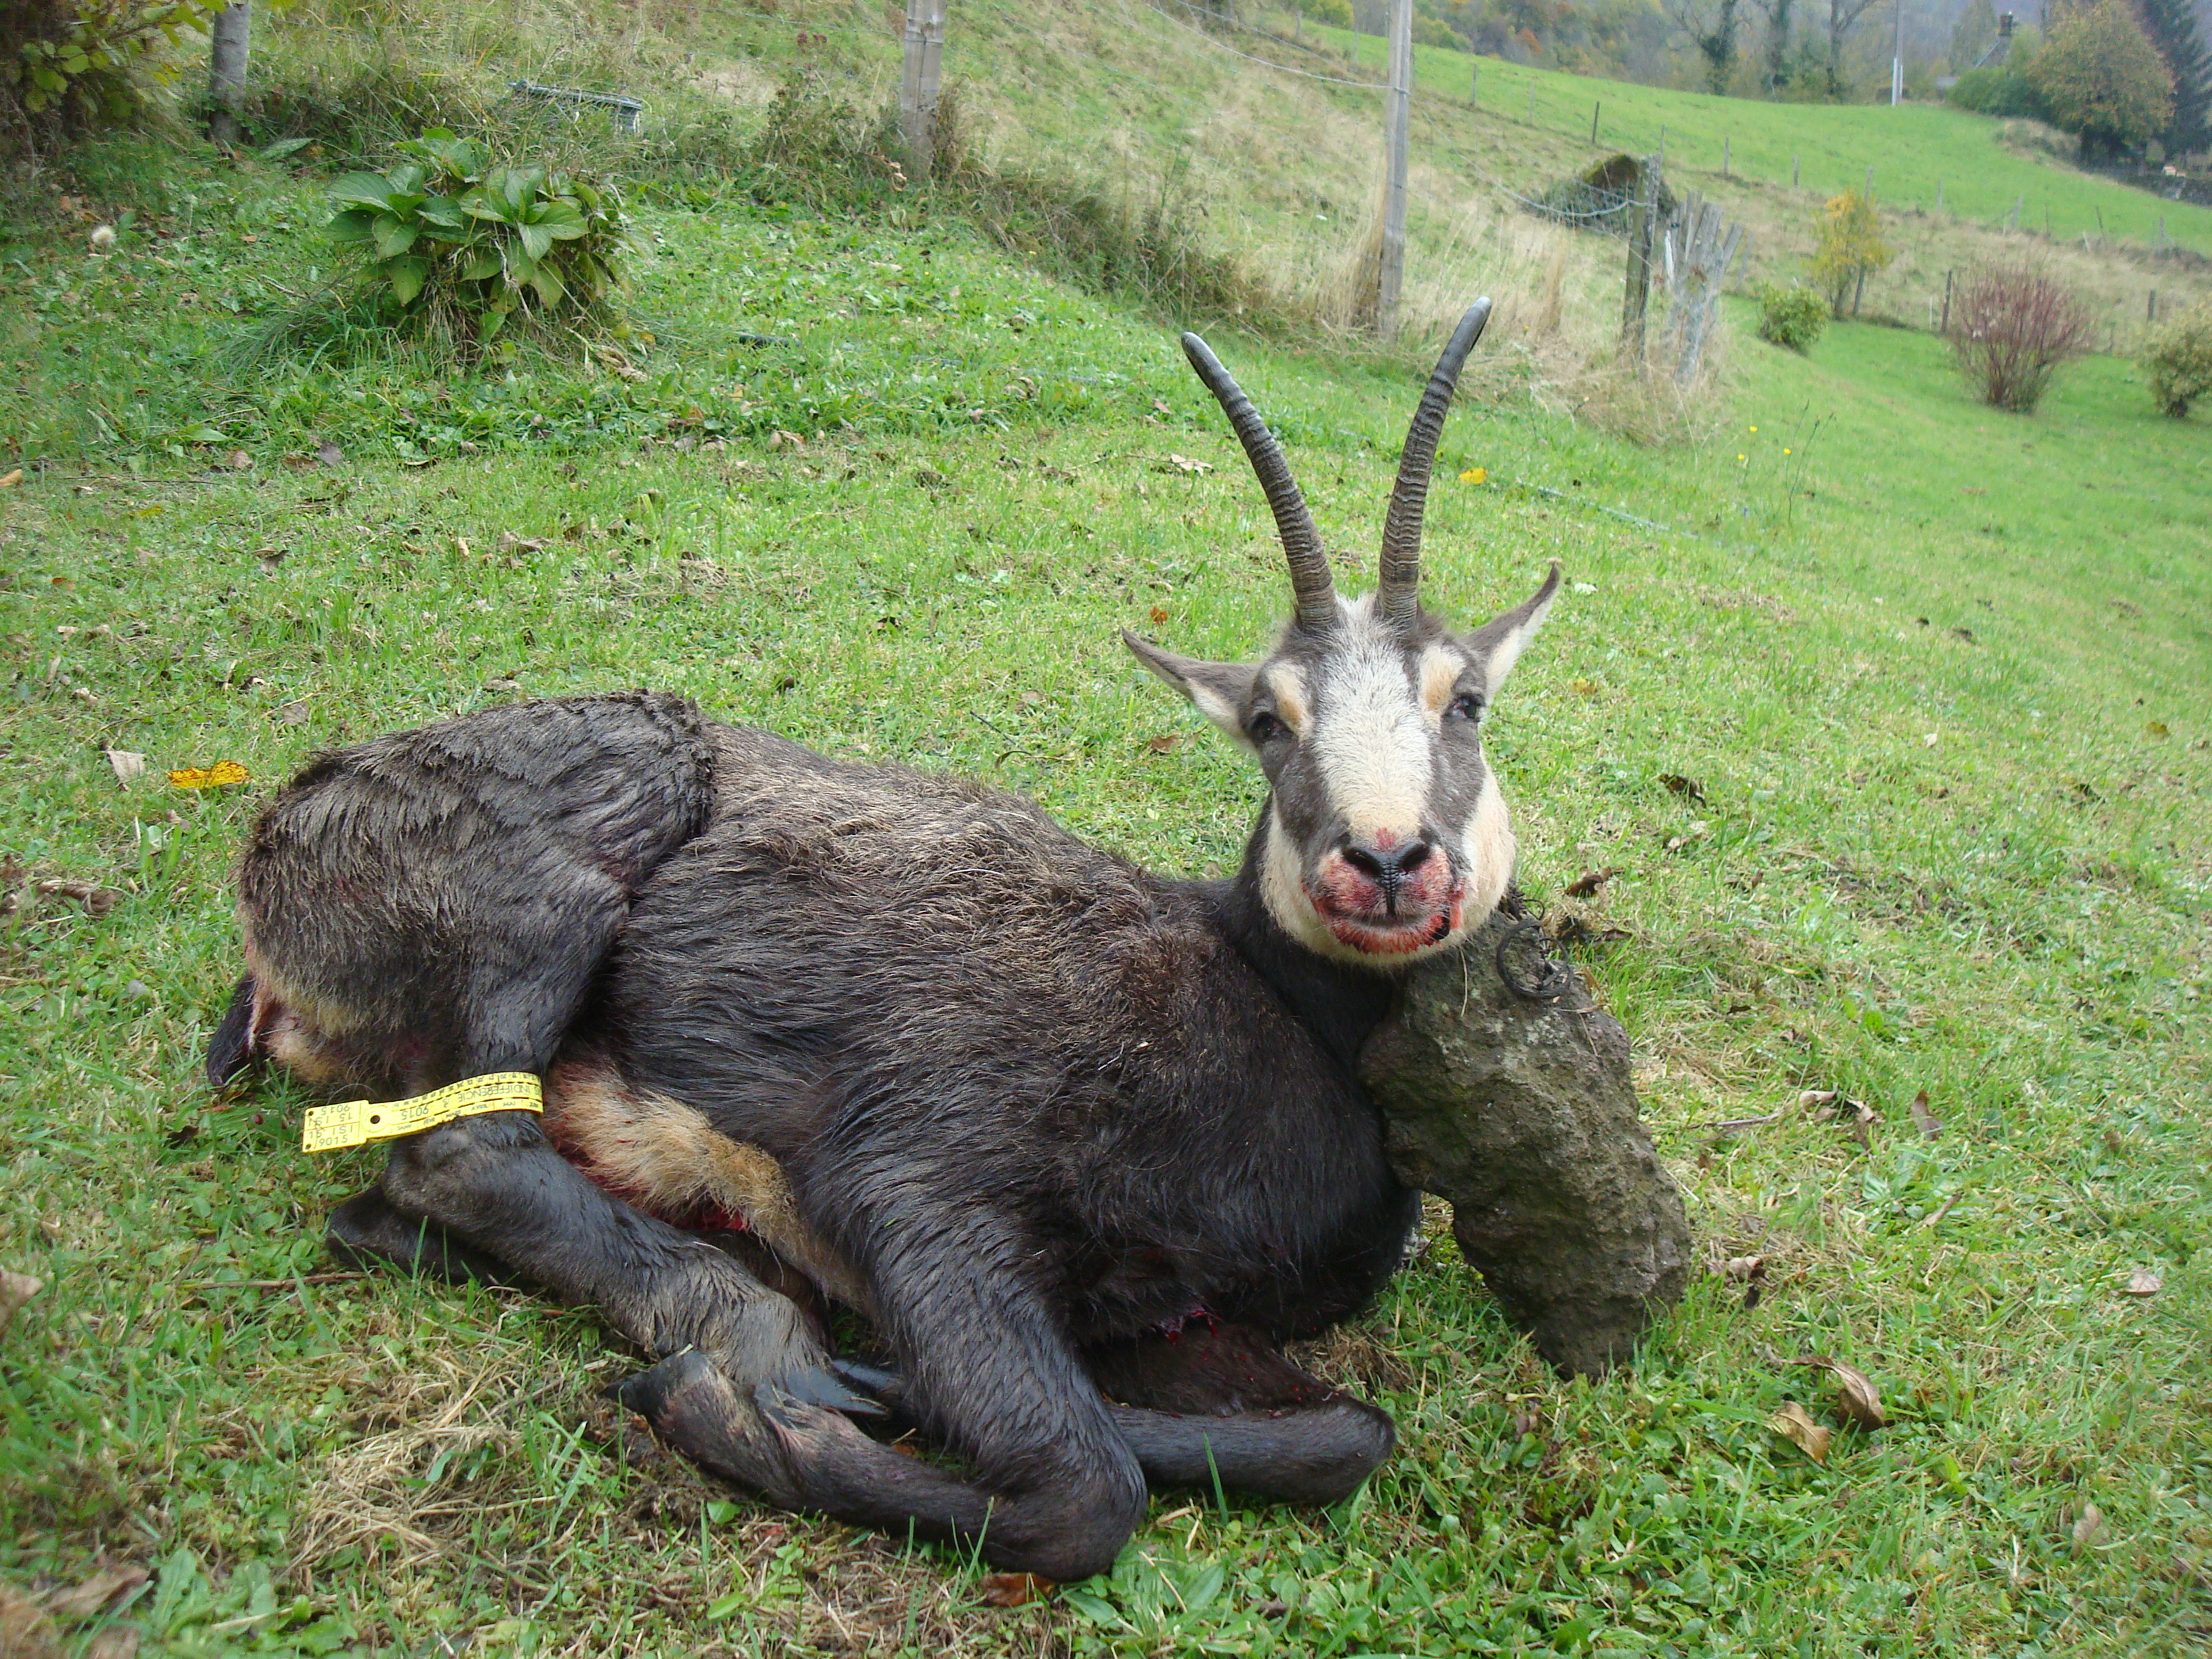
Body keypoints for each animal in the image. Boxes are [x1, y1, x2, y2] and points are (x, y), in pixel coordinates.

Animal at [209, 302, 1560, 1582]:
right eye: (1272, 721)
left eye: (1466, 698)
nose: (1383, 859)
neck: (1252, 1006)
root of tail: (292, 851)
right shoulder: (922, 1187)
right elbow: (1086, 1490)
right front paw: (742, 1406)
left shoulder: (1167, 1314)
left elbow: (1345, 1434)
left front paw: (898, 1387)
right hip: (580, 867)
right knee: (460, 1147)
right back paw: (754, 1337)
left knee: (387, 1206)